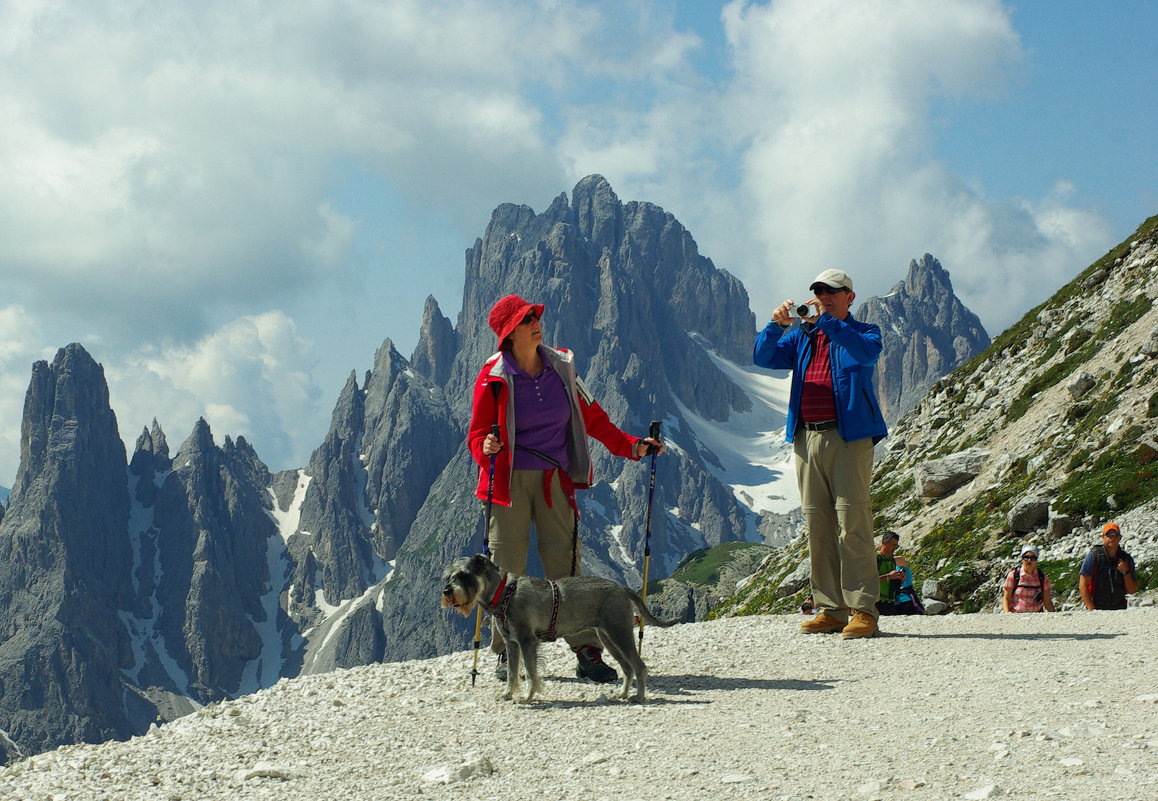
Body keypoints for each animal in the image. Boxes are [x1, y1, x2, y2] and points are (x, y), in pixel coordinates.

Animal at [442, 557, 676, 699]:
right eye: (449, 575)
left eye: (464, 575)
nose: (446, 591)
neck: (504, 593)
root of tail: (622, 588)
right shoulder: (512, 644)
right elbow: (511, 672)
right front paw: (508, 694)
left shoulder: (527, 641)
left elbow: (530, 672)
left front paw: (528, 696)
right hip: (609, 638)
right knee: (627, 668)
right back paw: (622, 694)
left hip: (620, 634)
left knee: (639, 666)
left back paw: (639, 696)